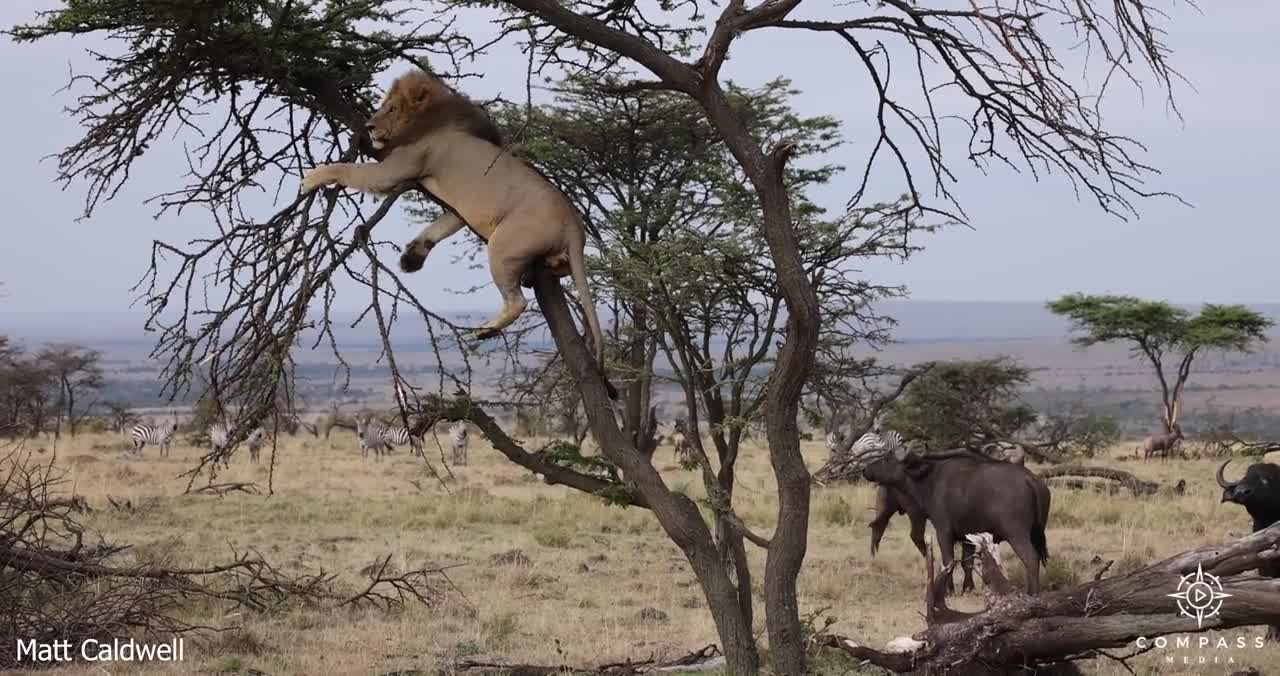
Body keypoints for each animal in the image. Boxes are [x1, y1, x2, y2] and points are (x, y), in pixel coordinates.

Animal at [300, 70, 609, 388]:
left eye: (392, 109)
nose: (369, 126)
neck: (433, 118)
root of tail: (574, 225)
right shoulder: (456, 208)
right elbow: (442, 225)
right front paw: (412, 257)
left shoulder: (397, 168)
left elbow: (349, 170)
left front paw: (312, 177)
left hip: (502, 245)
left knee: (517, 302)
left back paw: (487, 330)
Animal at [863, 447, 1051, 594]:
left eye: (887, 459)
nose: (865, 469)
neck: (930, 479)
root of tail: (1030, 480)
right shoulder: (968, 536)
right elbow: (966, 562)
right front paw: (968, 588)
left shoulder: (943, 531)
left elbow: (948, 561)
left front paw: (948, 590)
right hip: (1036, 533)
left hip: (1017, 534)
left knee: (1031, 559)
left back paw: (1032, 592)